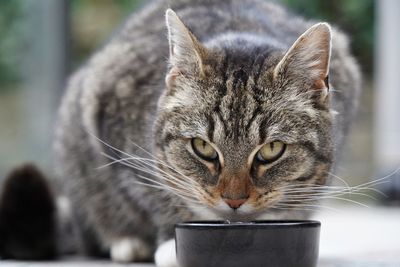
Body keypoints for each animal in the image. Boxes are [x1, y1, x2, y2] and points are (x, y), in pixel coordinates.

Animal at [0, 0, 362, 266]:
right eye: (202, 146)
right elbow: (154, 192)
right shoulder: (108, 117)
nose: (234, 200)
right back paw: (125, 242)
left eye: (271, 150)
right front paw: (168, 243)